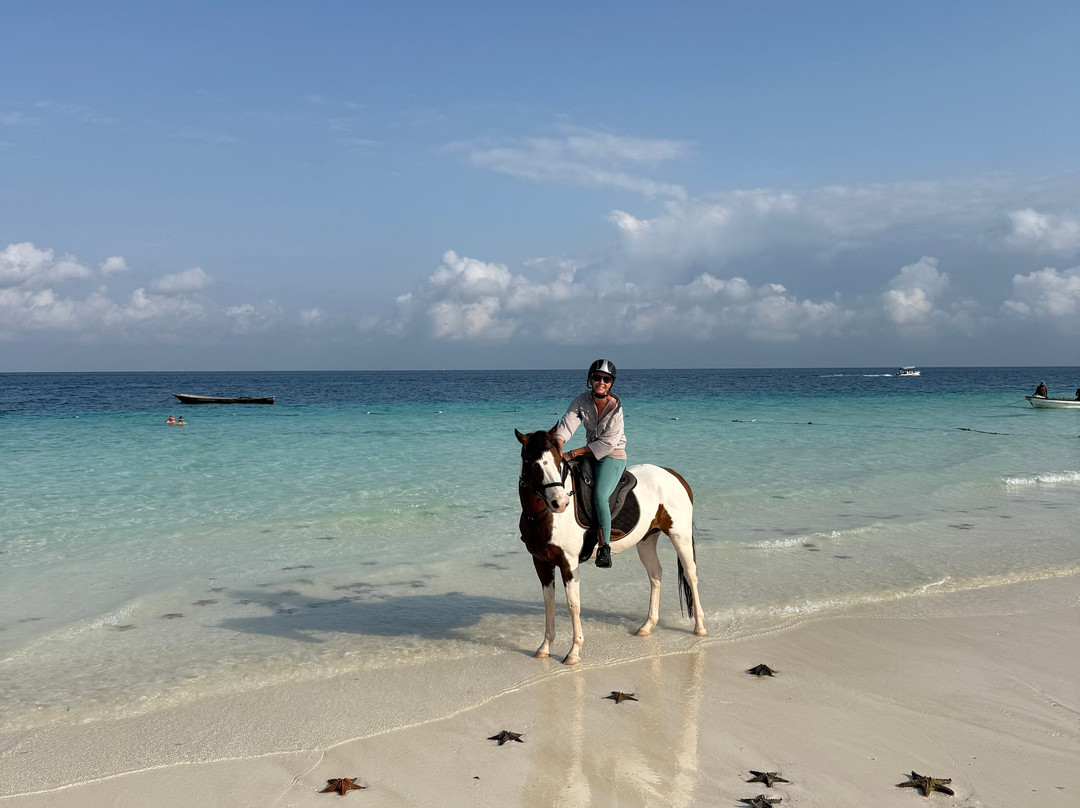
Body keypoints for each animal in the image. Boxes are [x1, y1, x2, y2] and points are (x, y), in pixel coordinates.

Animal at [515, 427, 706, 664]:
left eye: (558, 462)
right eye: (534, 464)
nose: (560, 503)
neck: (544, 516)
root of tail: (673, 475)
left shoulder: (568, 563)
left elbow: (573, 604)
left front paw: (574, 652)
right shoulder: (541, 562)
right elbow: (548, 602)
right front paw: (544, 647)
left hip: (680, 536)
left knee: (691, 575)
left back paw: (699, 627)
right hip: (646, 540)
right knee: (655, 574)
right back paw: (647, 626)